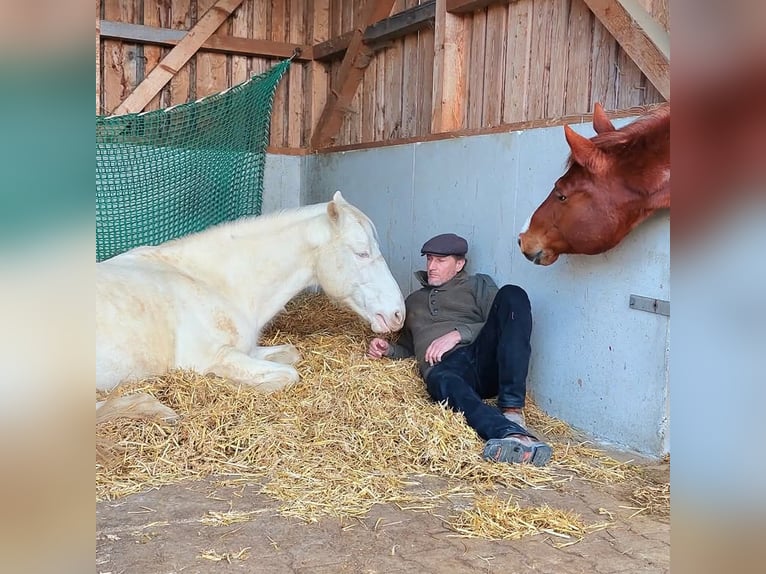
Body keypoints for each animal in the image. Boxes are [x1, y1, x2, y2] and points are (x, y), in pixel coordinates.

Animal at [97, 191, 408, 420]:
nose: (397, 314)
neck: (212, 282)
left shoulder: (247, 350)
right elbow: (288, 375)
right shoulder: (213, 356)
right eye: (362, 253)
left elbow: (290, 355)